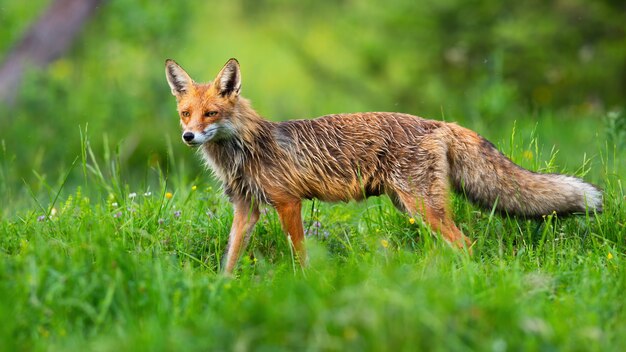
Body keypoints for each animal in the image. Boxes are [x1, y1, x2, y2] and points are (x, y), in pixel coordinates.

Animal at [163, 57, 604, 274]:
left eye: (211, 113)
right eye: (186, 114)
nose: (188, 137)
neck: (244, 149)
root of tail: (438, 122)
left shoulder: (289, 202)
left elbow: (300, 253)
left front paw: (305, 285)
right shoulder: (246, 208)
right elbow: (231, 257)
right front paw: (222, 290)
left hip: (422, 206)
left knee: (466, 245)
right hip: (411, 206)